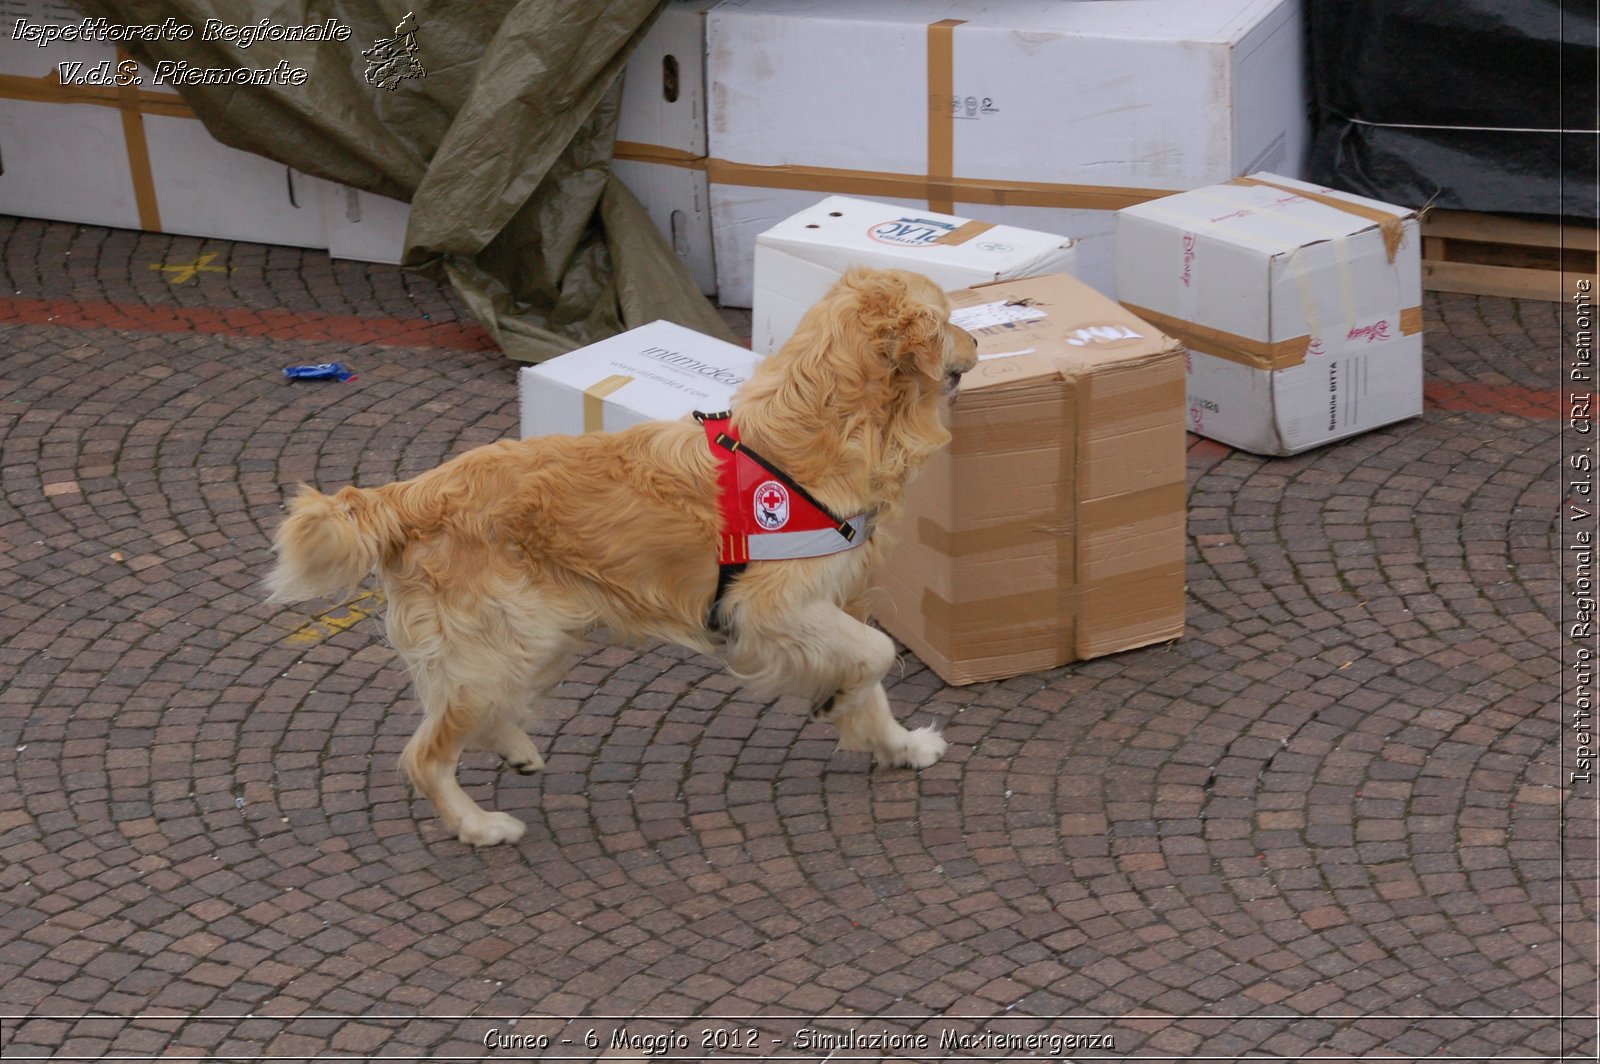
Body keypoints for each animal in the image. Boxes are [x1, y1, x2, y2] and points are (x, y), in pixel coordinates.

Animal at [265, 267, 972, 844]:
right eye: (946, 316)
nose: (974, 343)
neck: (826, 424)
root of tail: (404, 493)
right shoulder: (771, 608)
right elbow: (876, 654)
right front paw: (840, 700)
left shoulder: (829, 599)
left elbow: (871, 672)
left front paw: (899, 745)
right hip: (501, 638)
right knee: (426, 753)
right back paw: (481, 826)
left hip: (535, 635)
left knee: (479, 713)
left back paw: (515, 748)